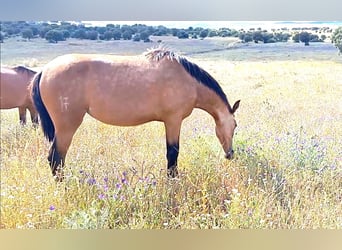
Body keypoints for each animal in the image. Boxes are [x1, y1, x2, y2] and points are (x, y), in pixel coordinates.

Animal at [32, 47, 240, 181]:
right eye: (235, 125)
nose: (230, 154)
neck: (188, 80)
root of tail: (44, 71)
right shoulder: (173, 120)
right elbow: (173, 153)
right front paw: (173, 182)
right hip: (66, 127)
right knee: (55, 159)